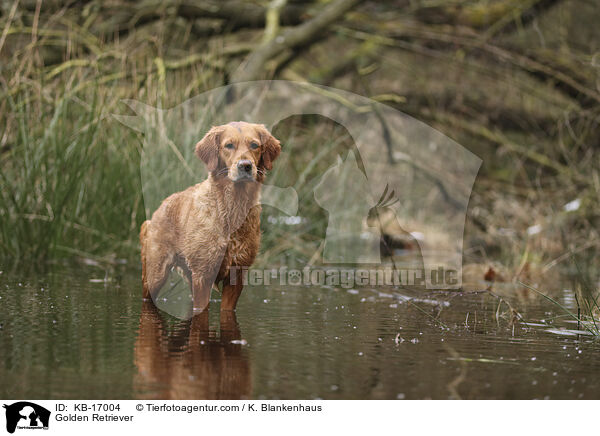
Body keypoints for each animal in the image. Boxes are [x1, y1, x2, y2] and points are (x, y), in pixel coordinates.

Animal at [140, 122, 282, 312]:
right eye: (229, 145)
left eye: (254, 145)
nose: (245, 165)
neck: (232, 208)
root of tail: (159, 208)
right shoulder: (203, 274)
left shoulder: (236, 274)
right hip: (155, 274)